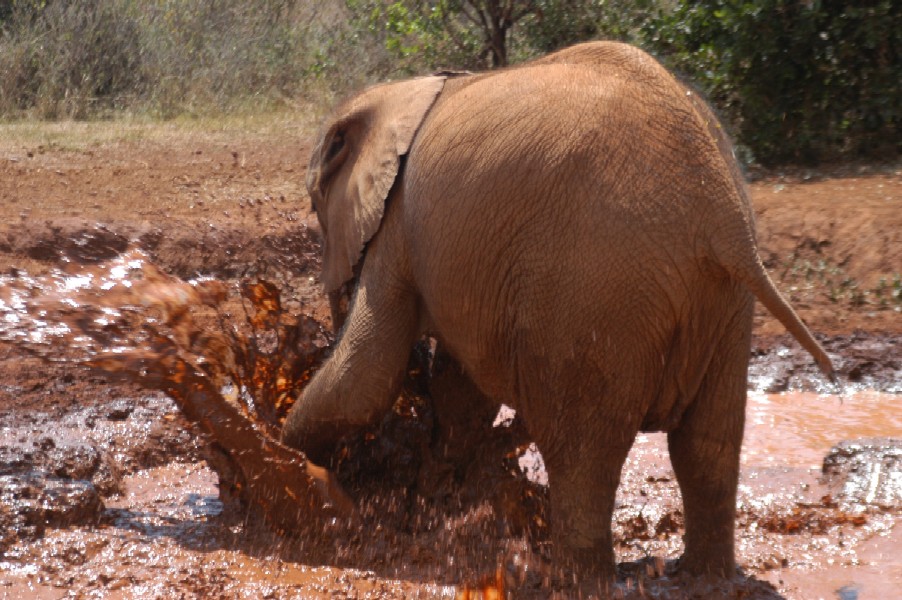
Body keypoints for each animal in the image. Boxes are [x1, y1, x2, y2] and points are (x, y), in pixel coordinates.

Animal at [284, 41, 840, 580]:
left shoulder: (398, 224)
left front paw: (284, 451)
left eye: (315, 206)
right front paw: (432, 502)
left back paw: (575, 580)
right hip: (721, 304)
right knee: (707, 444)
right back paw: (704, 581)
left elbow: (365, 378)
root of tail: (722, 213)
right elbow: (460, 393)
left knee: (581, 455)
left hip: (593, 289)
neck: (404, 90)